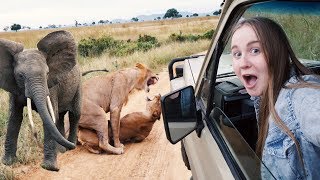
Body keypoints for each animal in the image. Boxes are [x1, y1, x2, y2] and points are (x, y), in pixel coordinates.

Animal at [0, 30, 81, 172]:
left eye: (47, 73)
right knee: (59, 117)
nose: (36, 138)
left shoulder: (50, 87)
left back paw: (70, 147)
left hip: (78, 85)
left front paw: (49, 168)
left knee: (74, 115)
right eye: (20, 76)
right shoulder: (13, 86)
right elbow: (14, 117)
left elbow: (49, 115)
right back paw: (62, 150)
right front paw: (8, 163)